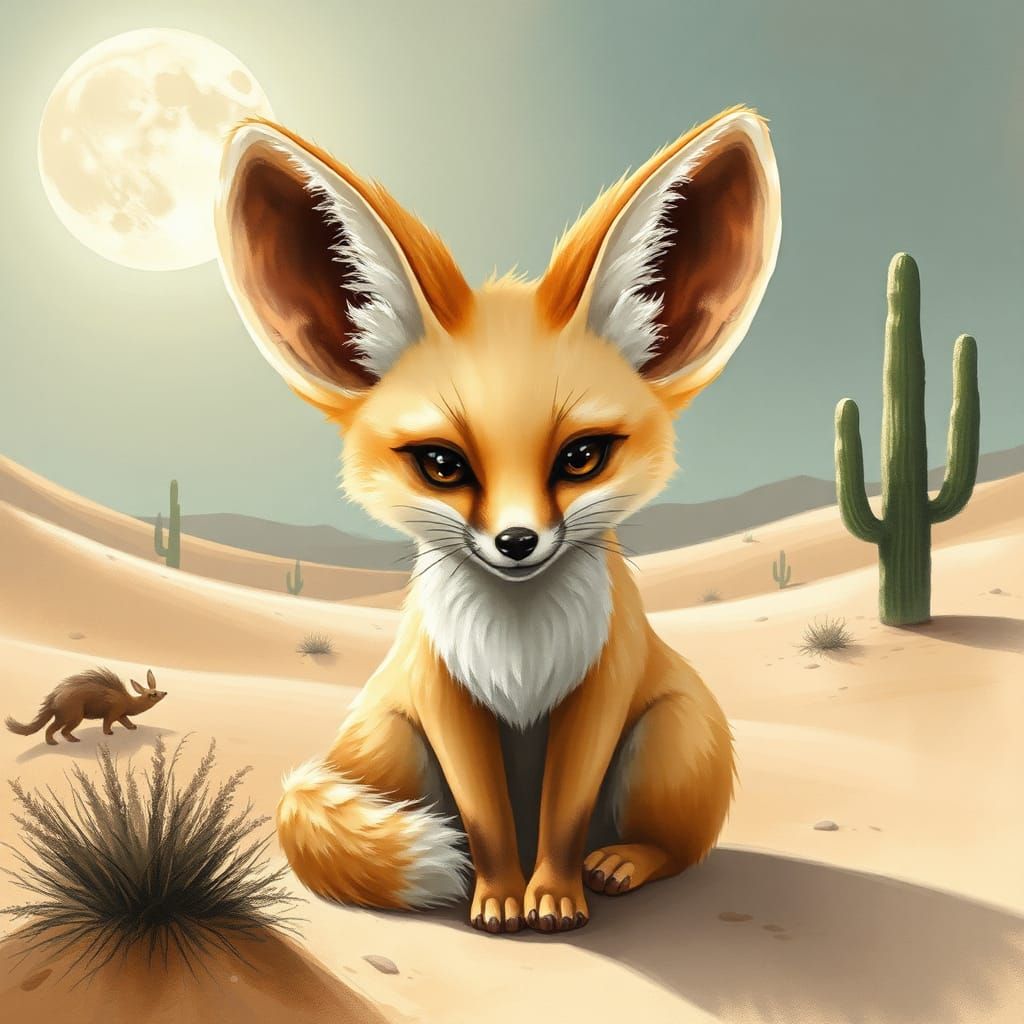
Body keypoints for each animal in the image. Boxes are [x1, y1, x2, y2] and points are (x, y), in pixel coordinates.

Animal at [5, 668, 167, 745]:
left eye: (157, 690)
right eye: (153, 694)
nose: (164, 692)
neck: (129, 701)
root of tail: (53, 699)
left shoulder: (121, 714)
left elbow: (126, 721)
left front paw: (133, 727)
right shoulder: (114, 711)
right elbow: (107, 723)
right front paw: (109, 733)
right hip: (72, 714)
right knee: (58, 729)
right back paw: (59, 741)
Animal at [214, 104, 781, 934]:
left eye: (582, 456)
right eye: (442, 464)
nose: (517, 542)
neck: (520, 653)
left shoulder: (598, 691)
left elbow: (565, 813)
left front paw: (553, 895)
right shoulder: (446, 697)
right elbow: (483, 819)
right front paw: (500, 896)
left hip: (672, 731)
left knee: (674, 846)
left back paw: (622, 861)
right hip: (391, 736)